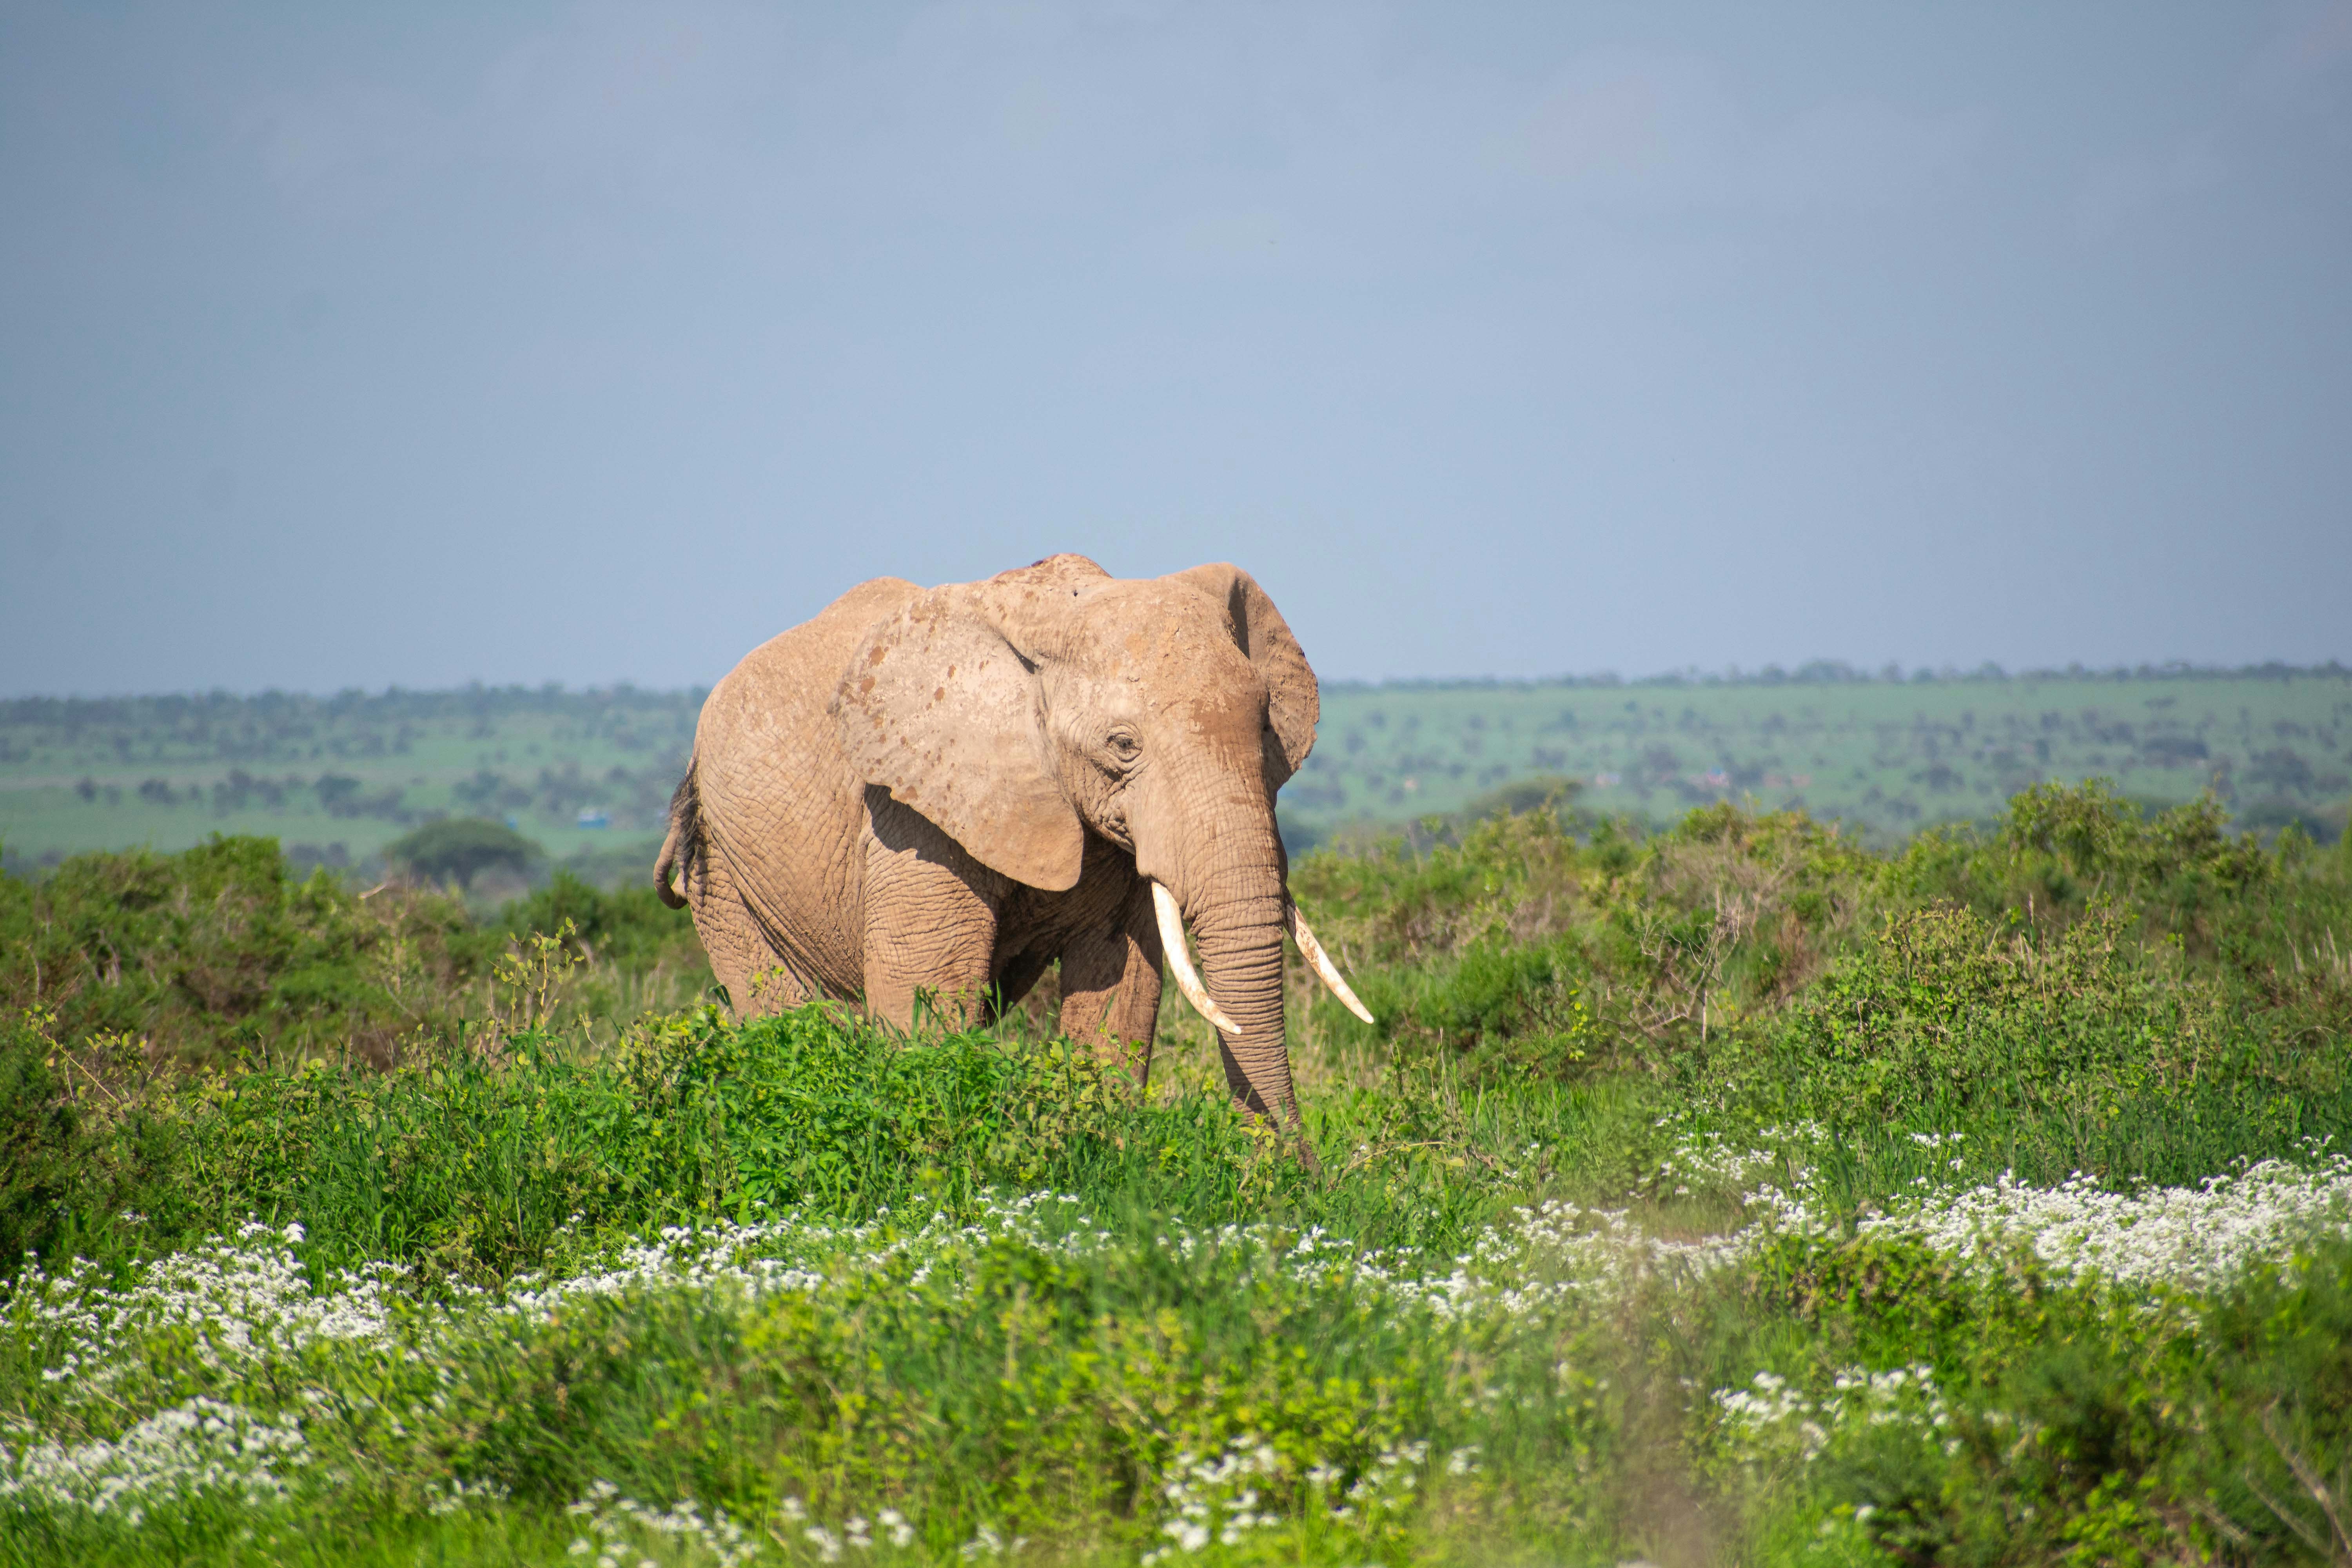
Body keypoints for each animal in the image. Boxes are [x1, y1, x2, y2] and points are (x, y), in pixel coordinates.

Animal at [653, 552, 1371, 1136]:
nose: (1301, 1179)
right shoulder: (912, 810)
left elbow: (1122, 992)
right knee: (782, 1015)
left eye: (1265, 730)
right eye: (1123, 746)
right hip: (722, 871)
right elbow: (927, 986)